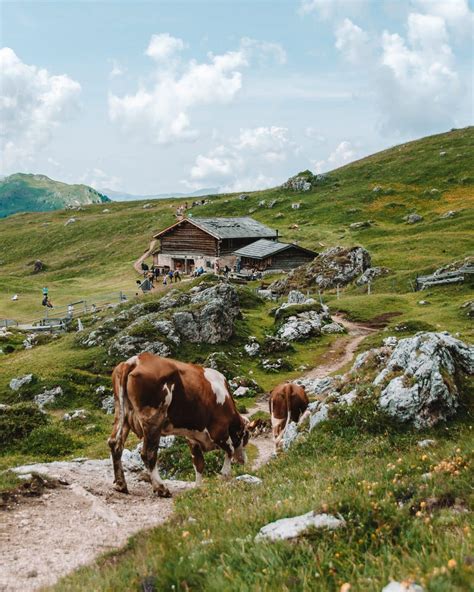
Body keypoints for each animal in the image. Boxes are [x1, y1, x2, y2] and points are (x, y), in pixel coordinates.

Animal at [106, 354, 248, 498]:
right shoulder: (219, 431)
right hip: (153, 420)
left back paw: (121, 484)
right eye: (244, 437)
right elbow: (229, 450)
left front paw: (198, 488)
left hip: (121, 413)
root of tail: (136, 360)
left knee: (115, 444)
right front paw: (225, 474)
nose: (243, 460)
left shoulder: (193, 437)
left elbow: (199, 463)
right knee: (148, 453)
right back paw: (161, 488)